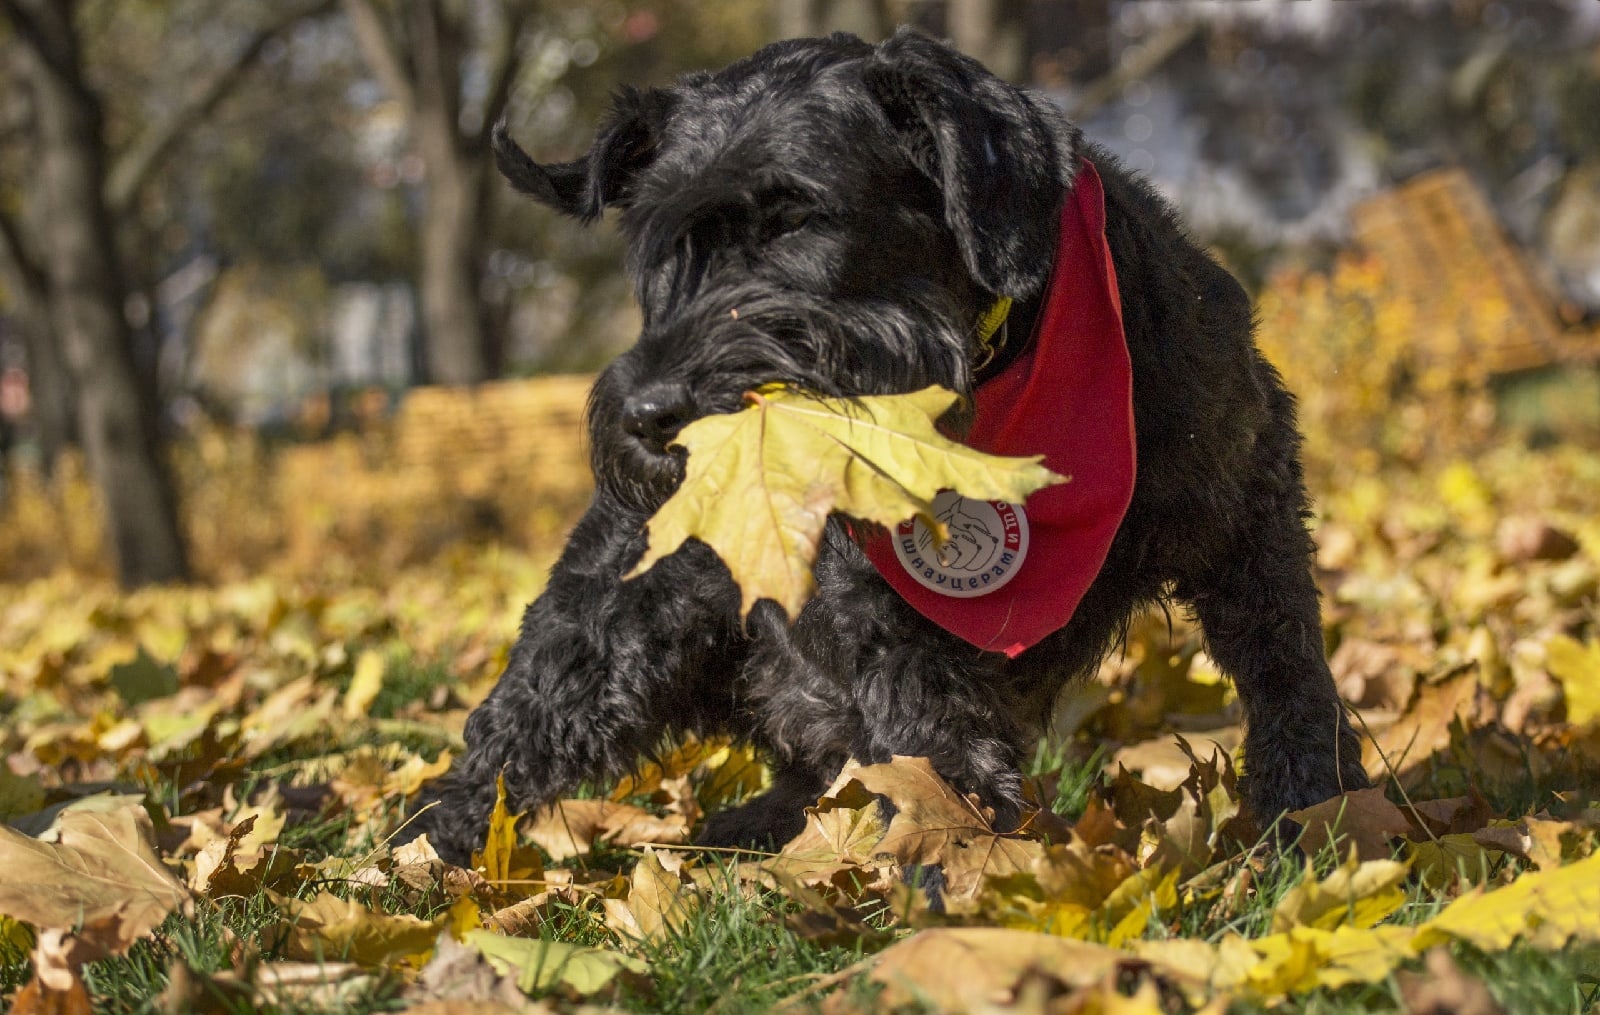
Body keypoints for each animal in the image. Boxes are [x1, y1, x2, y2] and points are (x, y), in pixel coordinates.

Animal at [406, 29, 1369, 864]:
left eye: (795, 217)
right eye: (663, 249)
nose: (647, 415)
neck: (997, 375)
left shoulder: (1248, 500)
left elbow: (1290, 672)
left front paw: (1318, 815)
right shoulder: (881, 612)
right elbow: (936, 755)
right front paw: (977, 879)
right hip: (613, 626)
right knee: (506, 744)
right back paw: (417, 864)